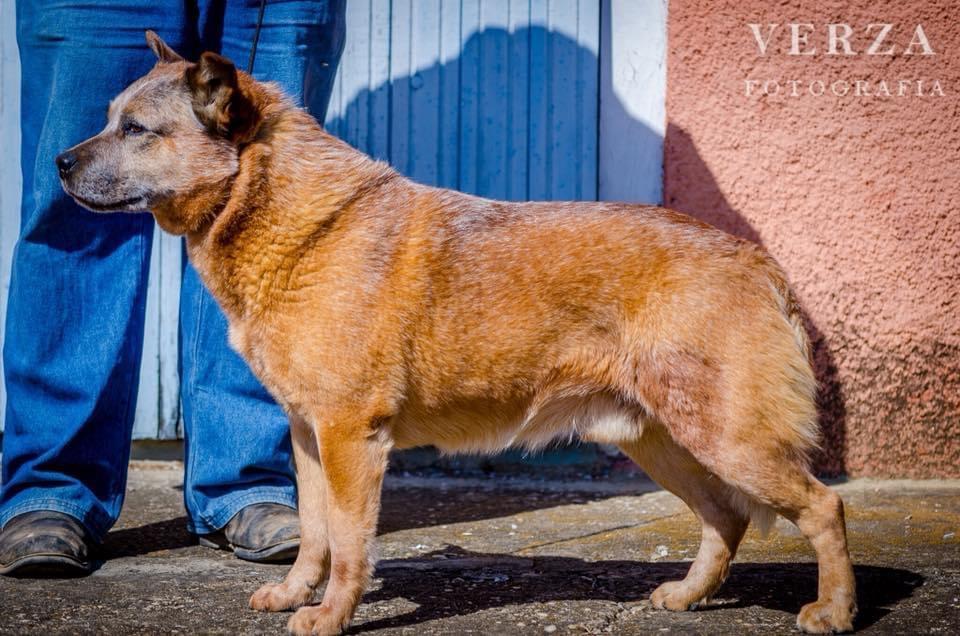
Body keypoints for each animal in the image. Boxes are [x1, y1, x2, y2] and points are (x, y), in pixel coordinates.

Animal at [56, 31, 860, 636]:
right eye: (109, 117)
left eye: (136, 130)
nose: (59, 163)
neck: (300, 224)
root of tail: (757, 259)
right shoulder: (308, 434)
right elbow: (313, 533)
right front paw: (294, 595)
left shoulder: (350, 438)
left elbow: (348, 542)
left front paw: (332, 615)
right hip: (660, 438)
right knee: (725, 518)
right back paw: (689, 597)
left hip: (727, 436)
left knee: (822, 506)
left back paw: (833, 610)